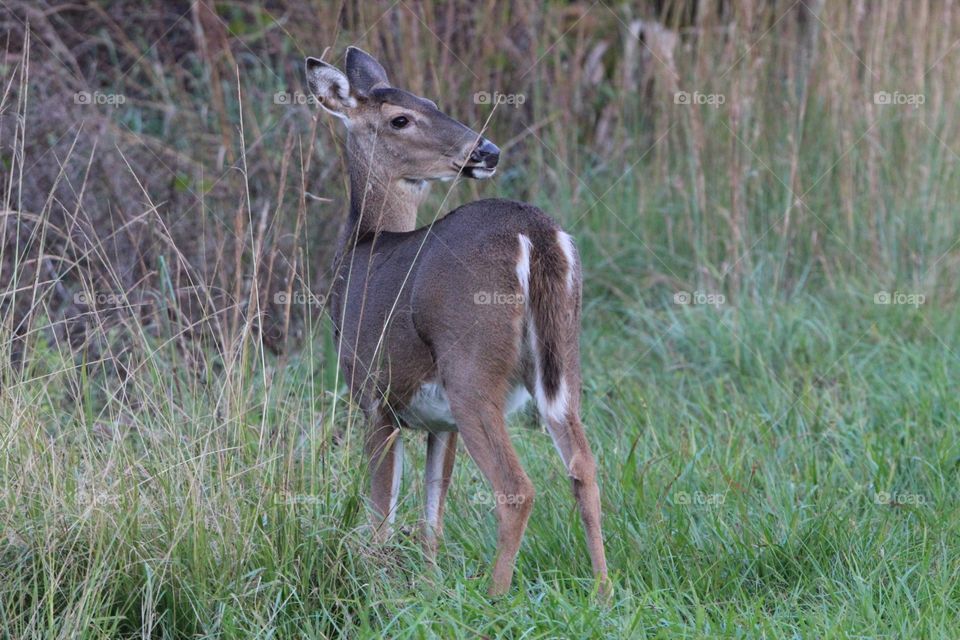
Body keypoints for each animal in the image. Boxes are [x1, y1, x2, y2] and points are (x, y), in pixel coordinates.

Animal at [304, 47, 612, 596]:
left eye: (427, 105)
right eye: (404, 116)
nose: (486, 149)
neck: (361, 248)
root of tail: (535, 232)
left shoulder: (376, 395)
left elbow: (380, 517)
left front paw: (379, 590)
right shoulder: (438, 420)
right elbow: (432, 515)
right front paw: (427, 588)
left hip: (471, 367)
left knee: (516, 488)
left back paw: (496, 596)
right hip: (562, 361)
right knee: (584, 467)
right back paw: (602, 591)